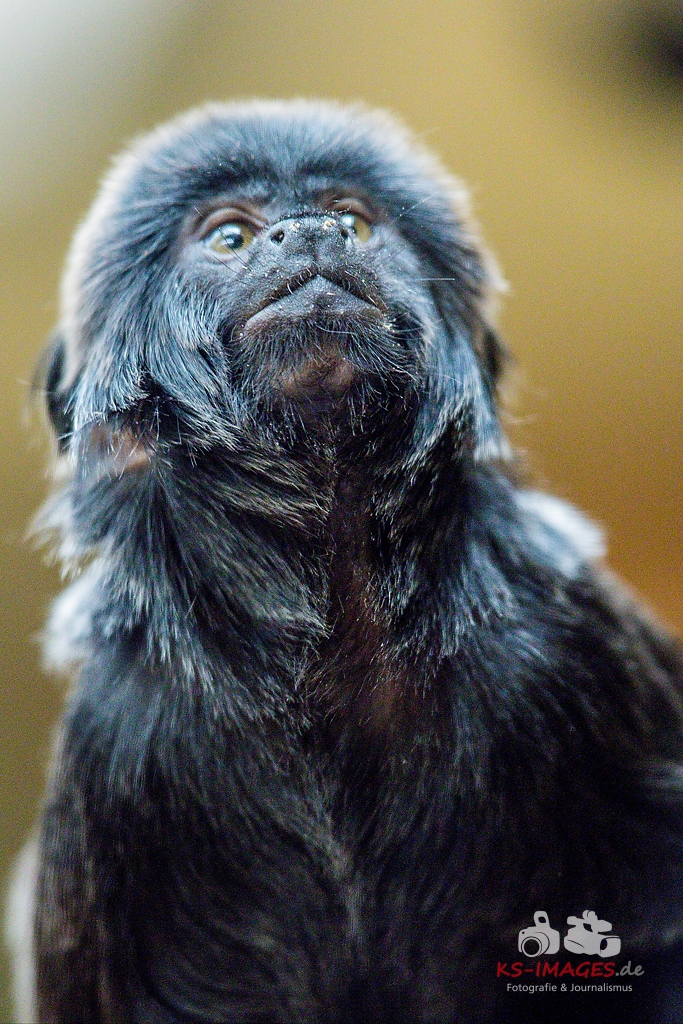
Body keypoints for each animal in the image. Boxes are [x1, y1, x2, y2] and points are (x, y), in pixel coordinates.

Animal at [8, 99, 683, 1023]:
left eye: (355, 220)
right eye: (228, 236)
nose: (311, 232)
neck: (336, 630)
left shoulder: (567, 643)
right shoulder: (119, 754)